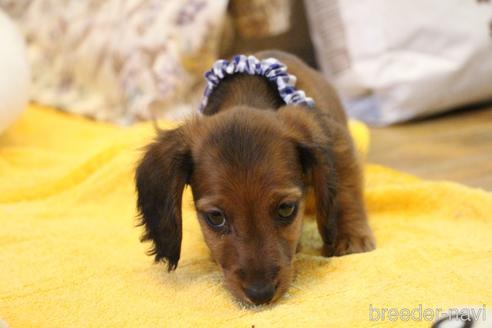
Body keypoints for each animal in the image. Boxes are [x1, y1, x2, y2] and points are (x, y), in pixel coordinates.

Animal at [135, 50, 372, 304]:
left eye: (286, 209)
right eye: (215, 217)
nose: (260, 294)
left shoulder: (338, 144)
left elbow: (346, 192)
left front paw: (349, 238)